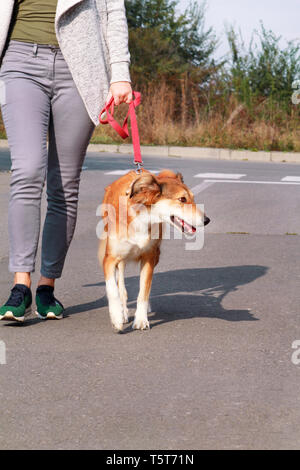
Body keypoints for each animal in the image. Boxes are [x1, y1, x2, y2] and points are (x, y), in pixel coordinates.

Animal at [99, 169, 210, 330]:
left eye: (193, 199)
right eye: (182, 199)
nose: (207, 220)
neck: (142, 218)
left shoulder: (149, 257)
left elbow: (144, 290)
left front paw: (140, 319)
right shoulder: (109, 259)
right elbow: (113, 289)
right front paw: (117, 317)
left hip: (156, 254)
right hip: (121, 258)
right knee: (121, 283)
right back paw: (123, 311)